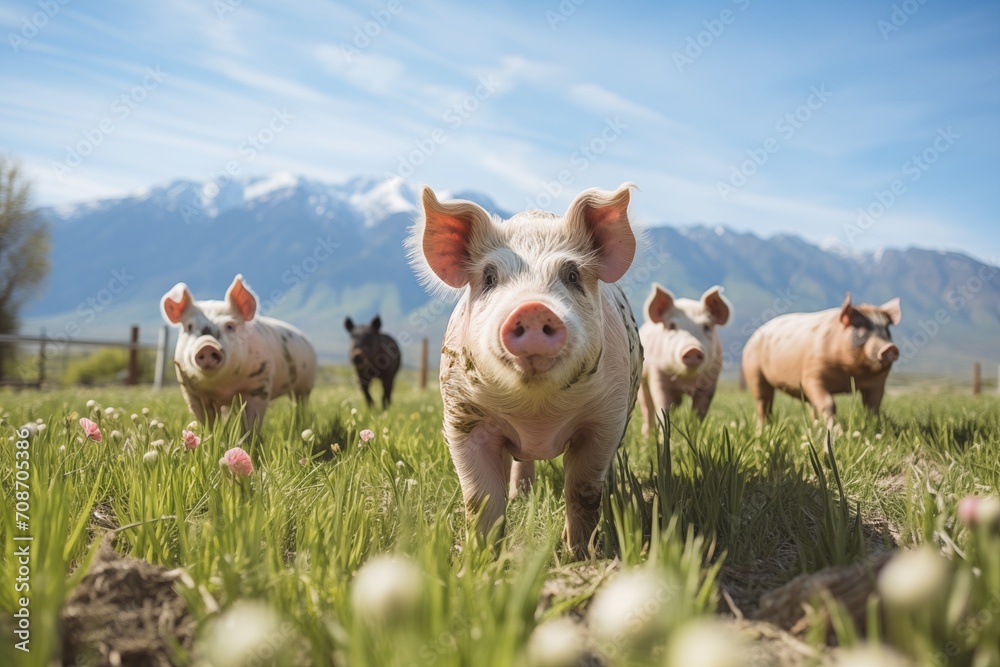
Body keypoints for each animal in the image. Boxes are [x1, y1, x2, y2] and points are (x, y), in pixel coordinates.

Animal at [160, 274, 317, 432]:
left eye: (230, 326)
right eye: (189, 327)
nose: (207, 345)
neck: (222, 386)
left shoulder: (259, 383)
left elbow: (252, 421)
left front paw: (248, 438)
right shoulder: (191, 392)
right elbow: (205, 421)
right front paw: (209, 435)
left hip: (306, 383)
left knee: (300, 403)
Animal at [409, 183, 642, 558]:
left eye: (572, 275)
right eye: (489, 277)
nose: (533, 308)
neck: (537, 415)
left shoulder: (606, 417)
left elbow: (583, 491)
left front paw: (578, 555)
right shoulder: (462, 416)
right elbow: (480, 499)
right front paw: (481, 559)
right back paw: (522, 495)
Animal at [638, 284, 731, 435]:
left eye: (706, 326)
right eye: (672, 326)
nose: (692, 349)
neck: (685, 380)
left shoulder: (711, 382)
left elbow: (699, 413)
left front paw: (694, 434)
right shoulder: (657, 375)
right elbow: (662, 406)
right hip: (642, 380)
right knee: (647, 408)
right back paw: (647, 437)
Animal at [742, 292, 901, 429]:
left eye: (887, 331)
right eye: (861, 330)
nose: (890, 347)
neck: (850, 372)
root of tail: (753, 337)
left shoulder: (878, 383)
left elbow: (873, 407)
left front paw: (875, 428)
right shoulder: (812, 375)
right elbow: (828, 404)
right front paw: (838, 433)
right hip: (754, 373)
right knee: (763, 403)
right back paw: (761, 431)